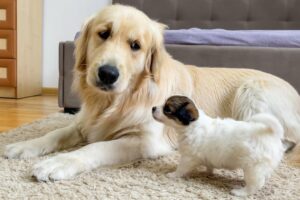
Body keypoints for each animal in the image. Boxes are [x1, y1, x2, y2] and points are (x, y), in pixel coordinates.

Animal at [154, 95, 284, 197]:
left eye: (167, 109)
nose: (153, 108)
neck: (192, 125)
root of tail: (271, 134)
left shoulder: (188, 157)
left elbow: (181, 168)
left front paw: (173, 175)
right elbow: (209, 165)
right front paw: (208, 173)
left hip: (253, 166)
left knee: (256, 183)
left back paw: (240, 192)